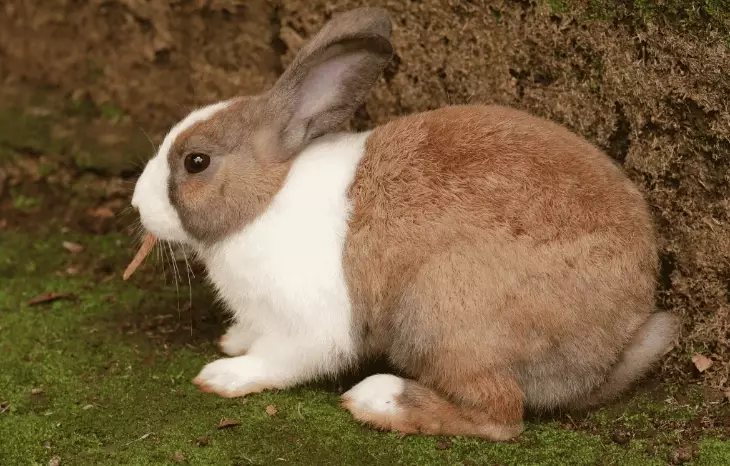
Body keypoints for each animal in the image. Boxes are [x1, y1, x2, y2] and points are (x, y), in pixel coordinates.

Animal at [129, 7, 679, 440]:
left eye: (196, 162)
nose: (137, 204)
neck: (268, 197)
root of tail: (616, 342)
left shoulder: (312, 326)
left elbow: (280, 359)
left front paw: (223, 374)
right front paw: (234, 340)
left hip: (445, 312)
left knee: (500, 416)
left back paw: (379, 400)